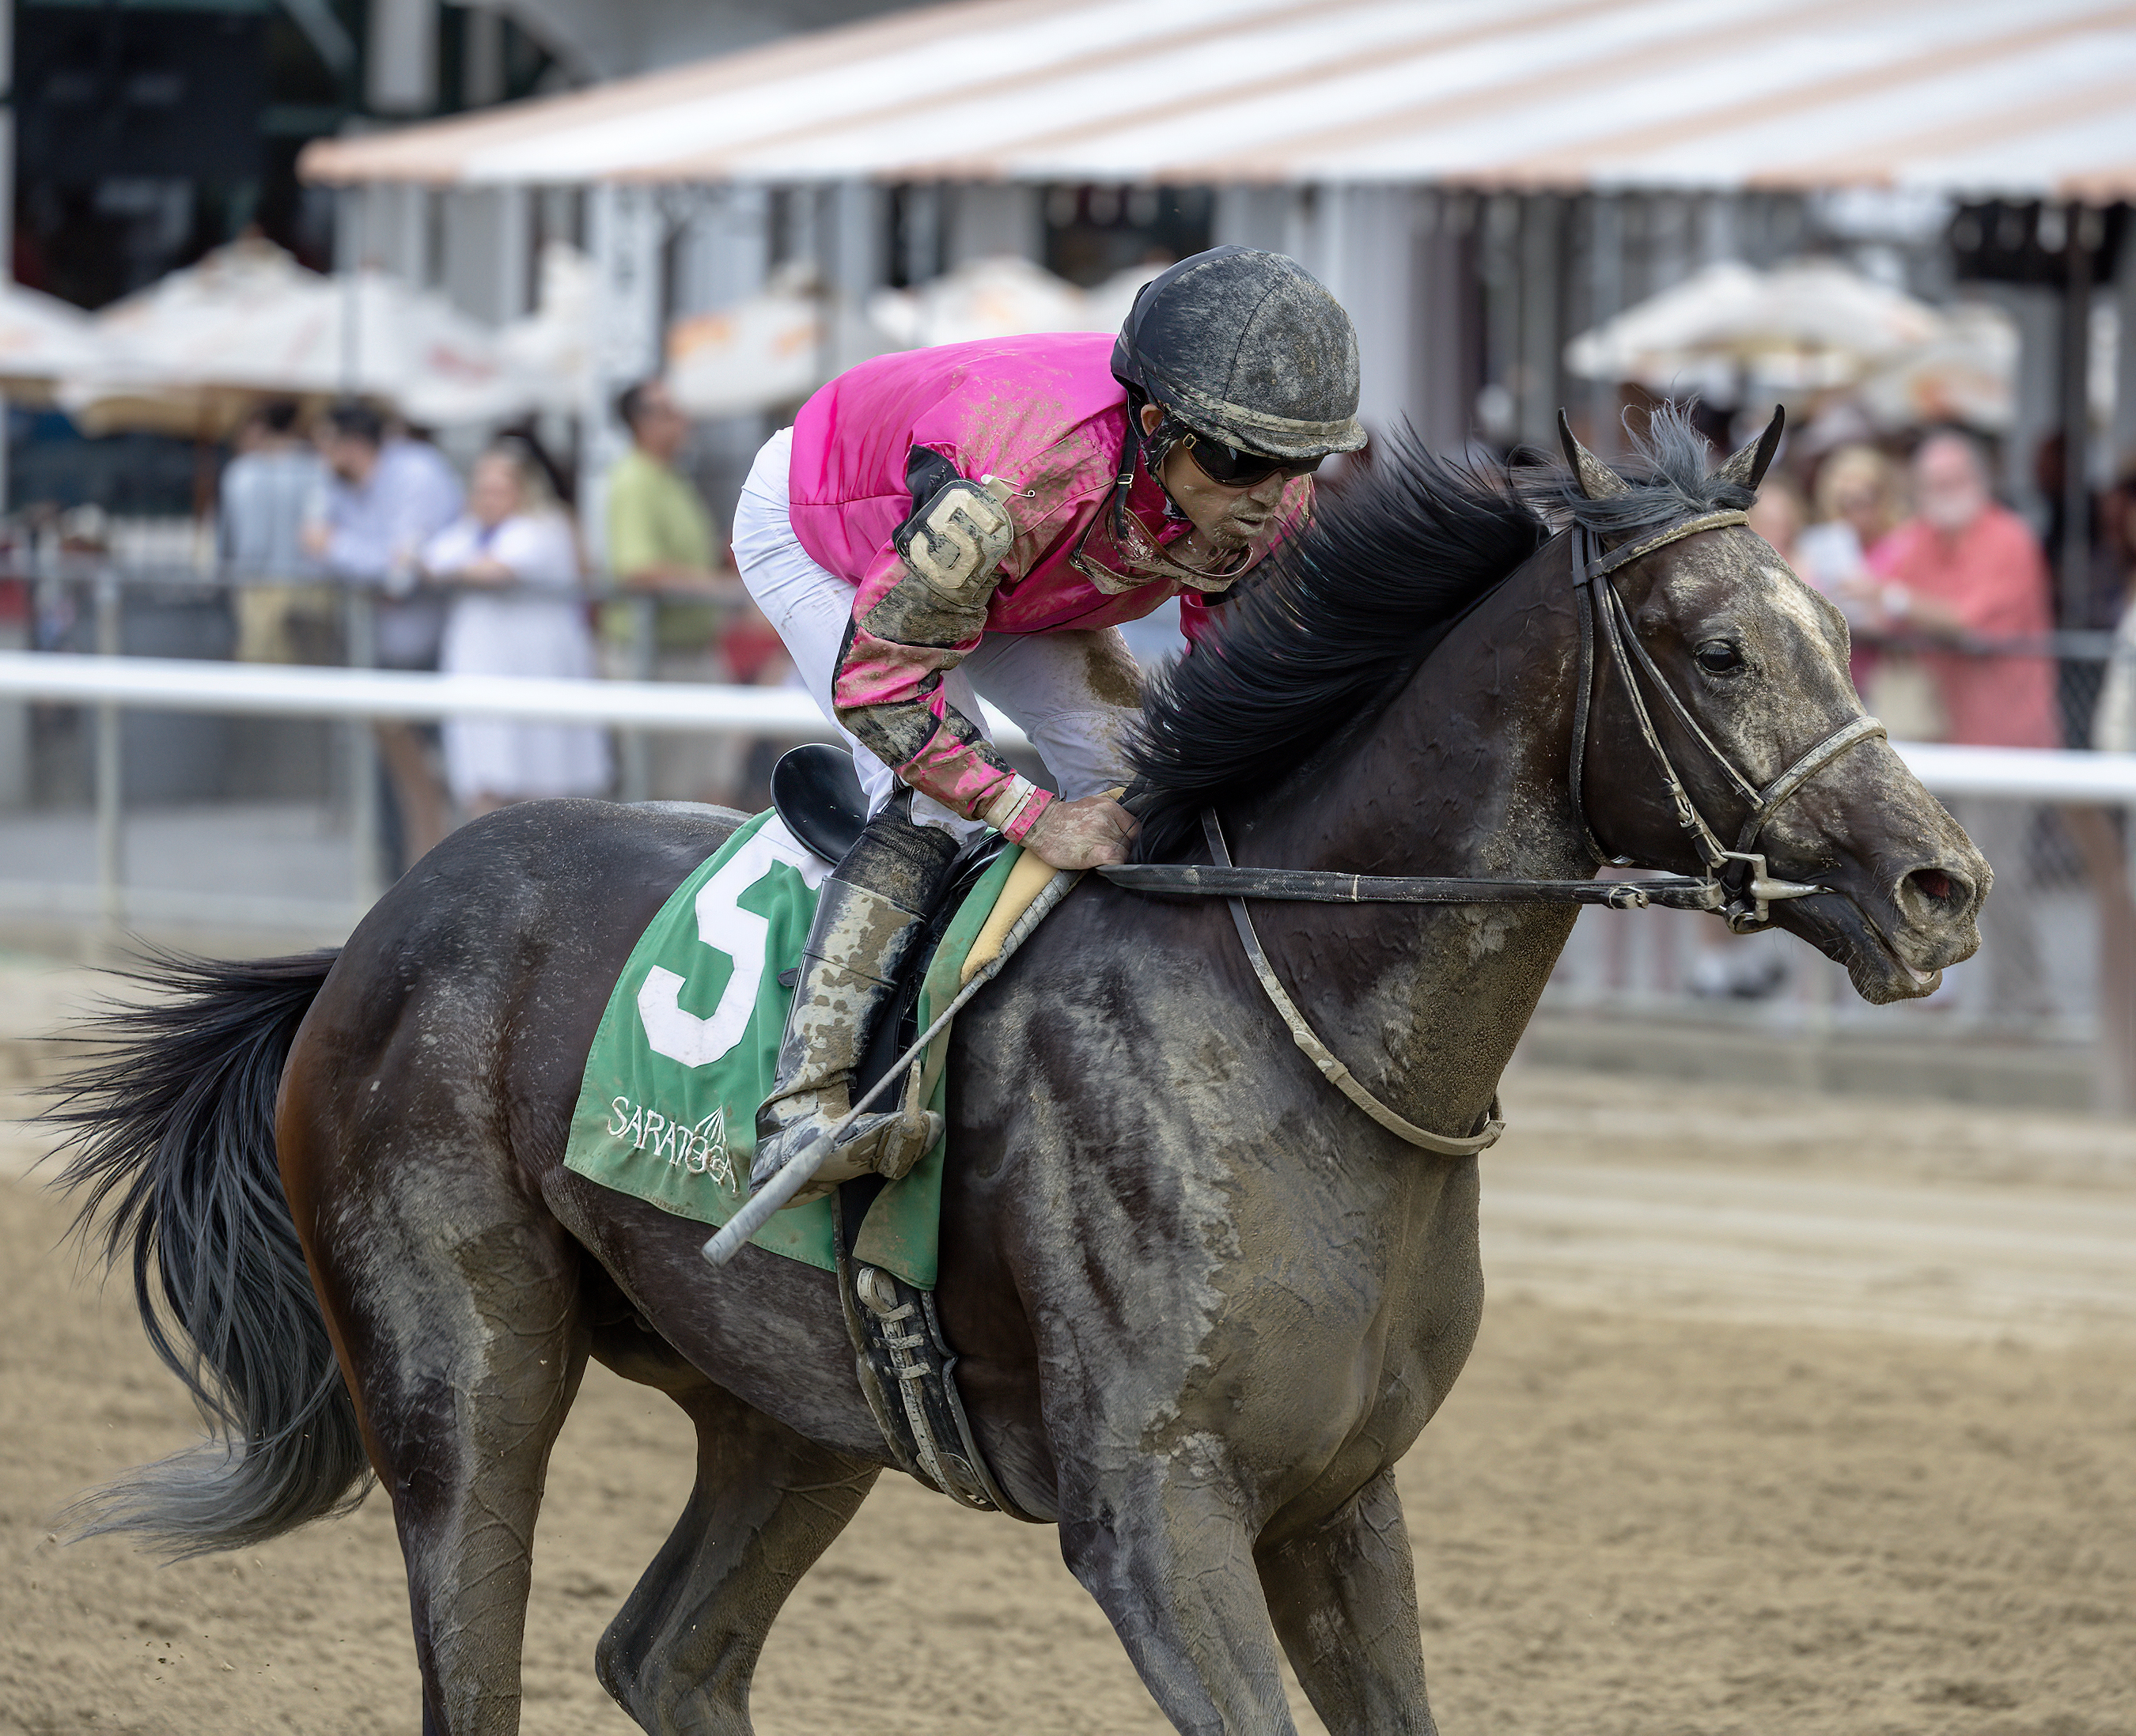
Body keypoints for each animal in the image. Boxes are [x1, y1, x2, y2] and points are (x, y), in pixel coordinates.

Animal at [46, 410, 1982, 1734]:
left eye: (1842, 627)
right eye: (1721, 647)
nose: (1941, 883)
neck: (1294, 1019)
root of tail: (373, 934)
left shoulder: (1343, 1498)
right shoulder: (1158, 1514)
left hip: (793, 1406)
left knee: (666, 1653)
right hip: (466, 1380)